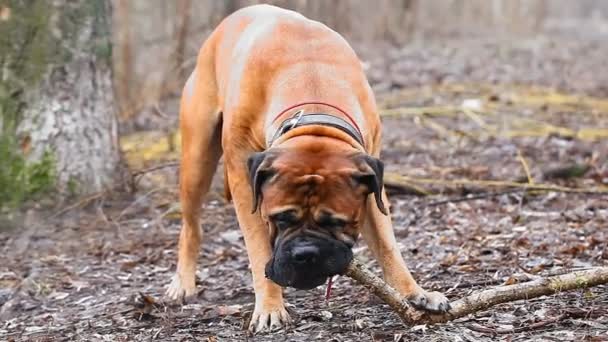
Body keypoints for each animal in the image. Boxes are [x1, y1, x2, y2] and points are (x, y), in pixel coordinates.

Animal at [166, 4, 452, 332]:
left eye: (337, 222)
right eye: (280, 218)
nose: (305, 254)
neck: (312, 92)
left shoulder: (371, 182)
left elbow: (388, 245)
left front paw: (414, 293)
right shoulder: (243, 178)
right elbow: (258, 247)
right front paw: (270, 306)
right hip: (197, 159)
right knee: (191, 226)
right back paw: (183, 282)